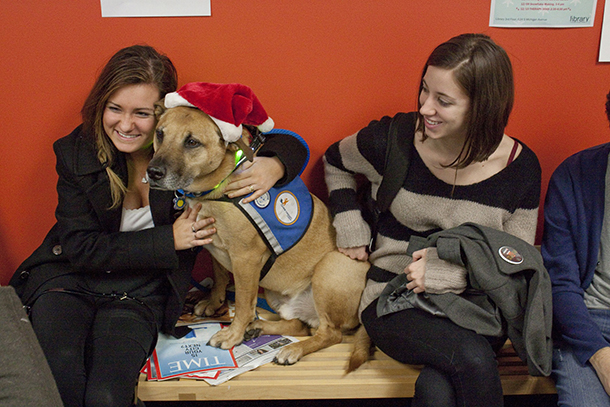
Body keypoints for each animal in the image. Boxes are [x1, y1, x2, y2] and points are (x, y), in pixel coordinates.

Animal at [146, 104, 370, 366]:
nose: (153, 172)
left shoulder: (246, 260)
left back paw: (291, 349)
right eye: (160, 133)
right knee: (300, 326)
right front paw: (214, 302)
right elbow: (220, 278)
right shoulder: (217, 249)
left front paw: (232, 335)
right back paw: (259, 328)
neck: (216, 186)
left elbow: (243, 304)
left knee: (330, 334)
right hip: (273, 292)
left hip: (330, 268)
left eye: (192, 142)